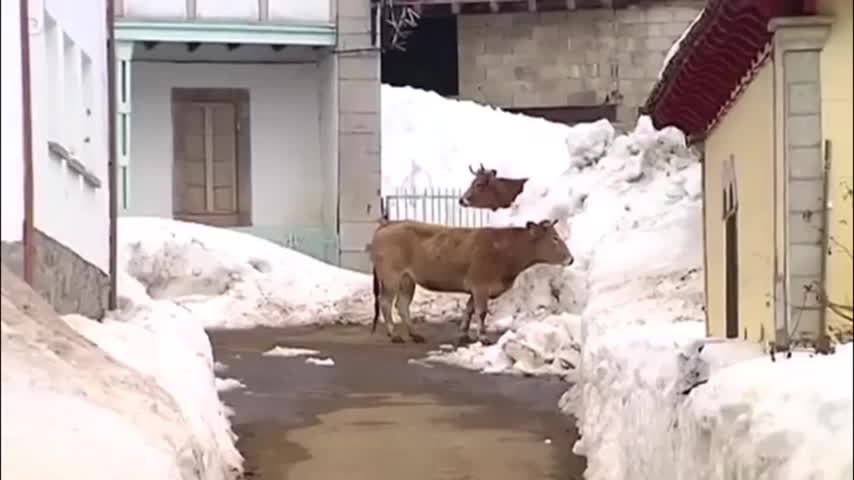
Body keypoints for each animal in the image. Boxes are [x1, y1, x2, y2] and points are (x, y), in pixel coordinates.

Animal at [370, 218, 576, 344]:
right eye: (554, 238)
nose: (571, 259)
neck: (504, 250)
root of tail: (388, 224)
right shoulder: (480, 286)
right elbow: (481, 312)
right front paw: (483, 337)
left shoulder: (475, 289)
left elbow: (469, 309)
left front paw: (464, 334)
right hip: (391, 276)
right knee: (386, 302)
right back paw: (394, 334)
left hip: (407, 280)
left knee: (402, 305)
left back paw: (415, 334)